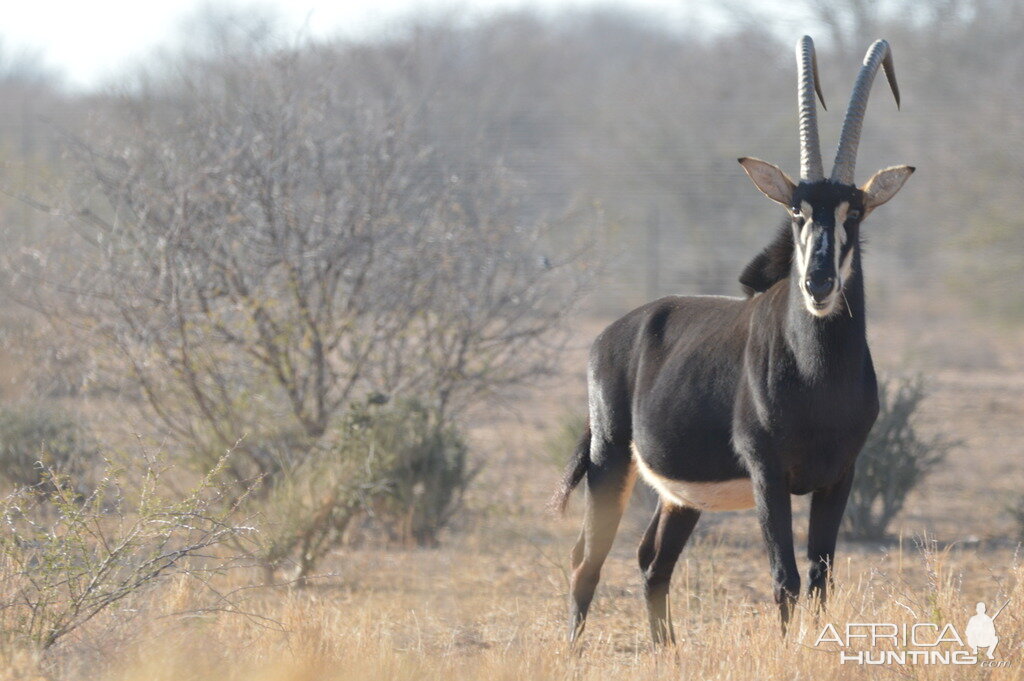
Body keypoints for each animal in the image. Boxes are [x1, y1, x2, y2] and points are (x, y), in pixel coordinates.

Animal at [557, 37, 917, 643]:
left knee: (652, 563)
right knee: (589, 562)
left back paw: (669, 652)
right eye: (796, 208)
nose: (818, 282)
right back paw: (574, 653)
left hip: (680, 497)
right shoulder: (767, 474)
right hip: (610, 462)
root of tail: (613, 334)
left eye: (856, 211)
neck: (820, 377)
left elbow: (820, 579)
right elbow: (785, 579)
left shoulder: (839, 477)